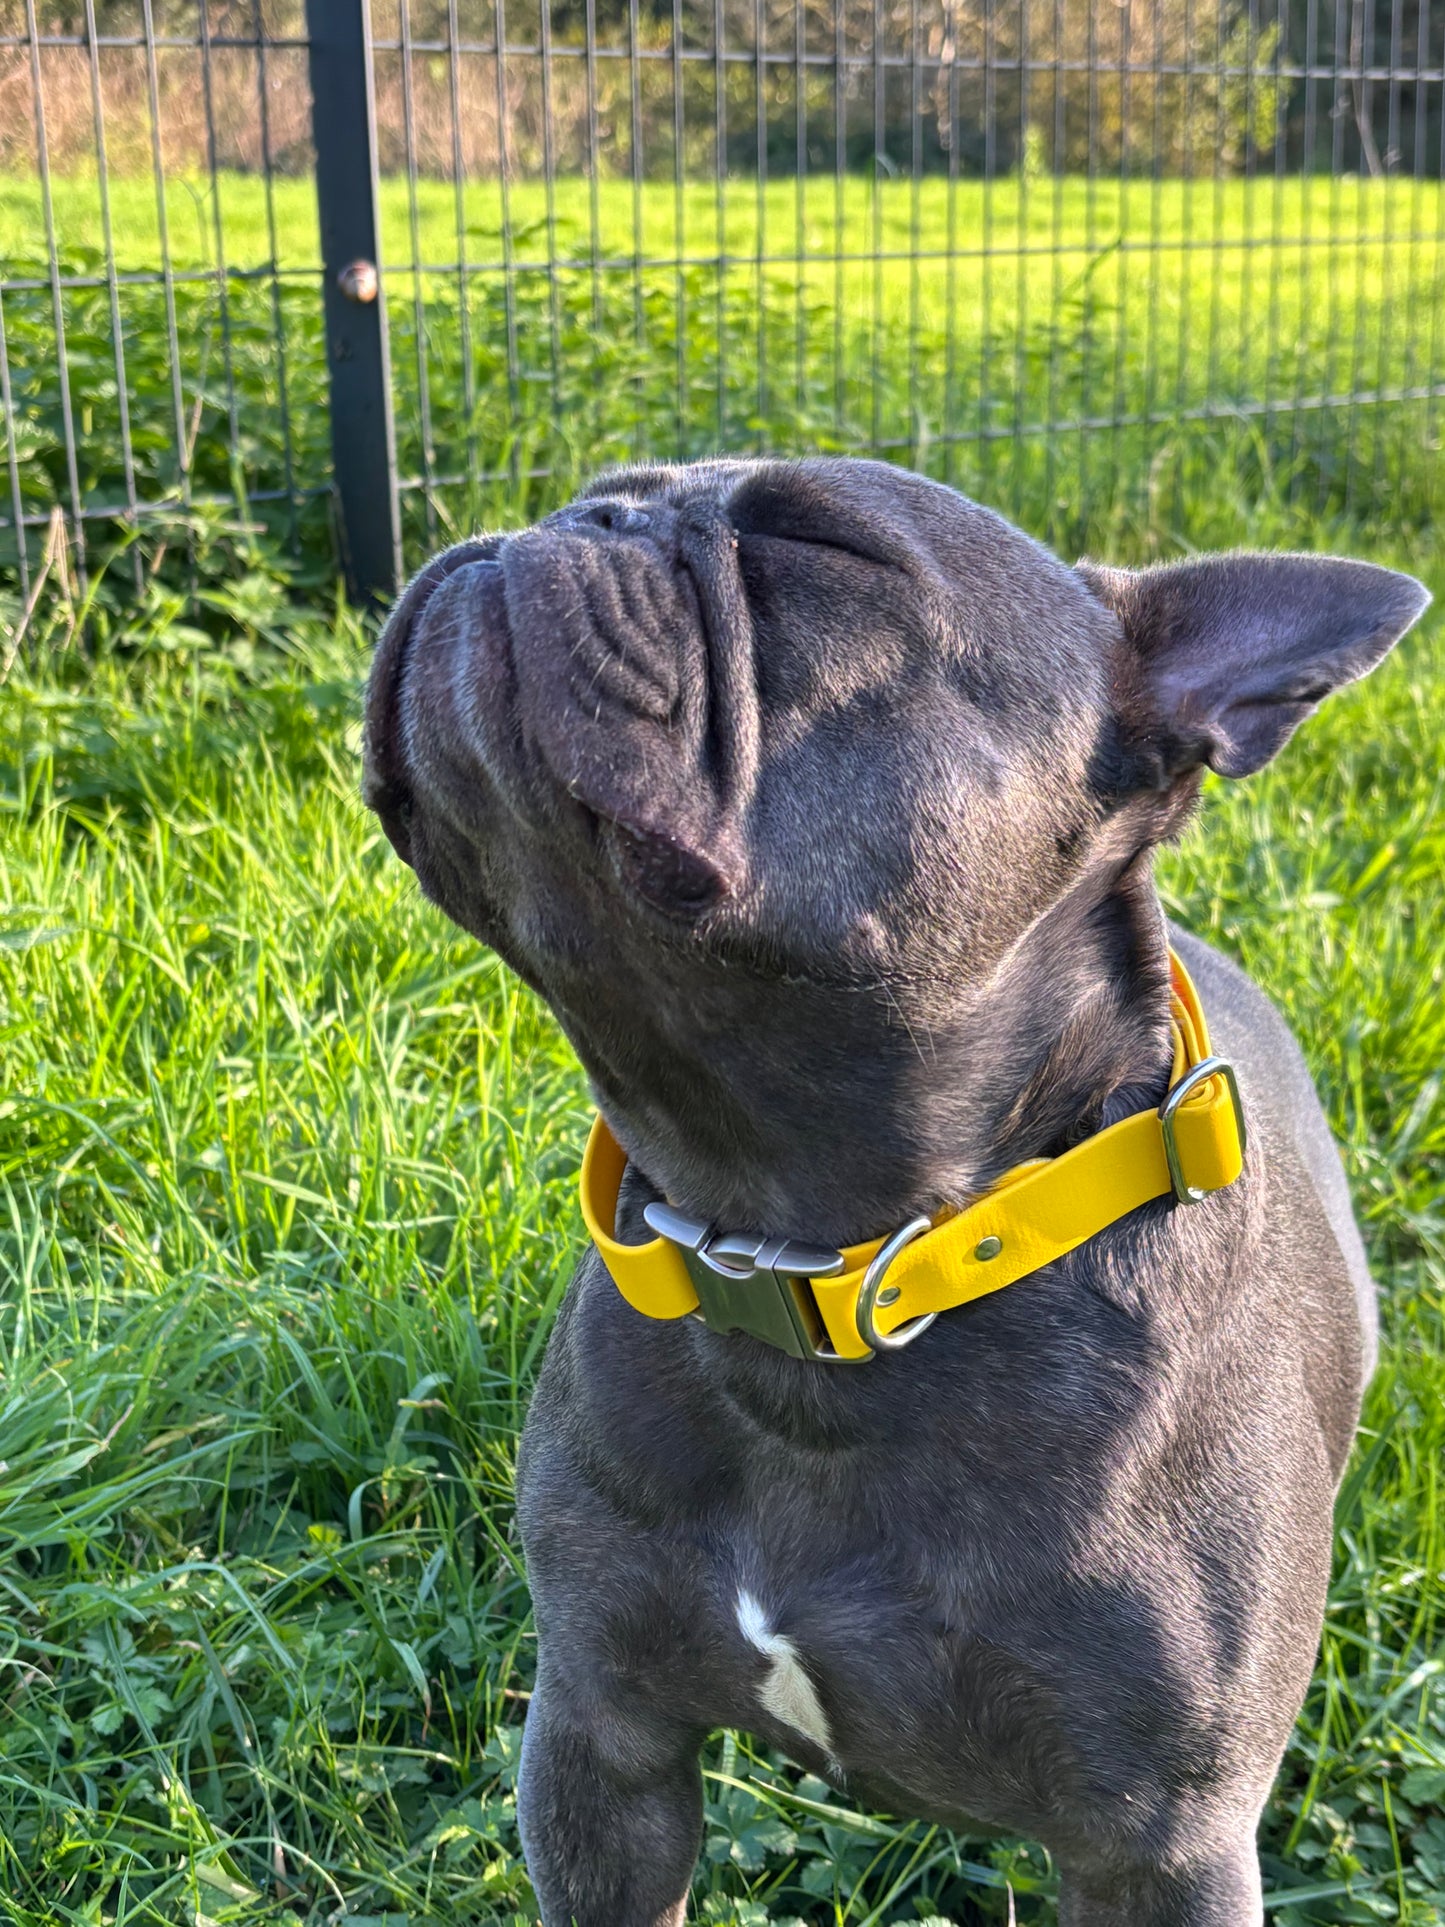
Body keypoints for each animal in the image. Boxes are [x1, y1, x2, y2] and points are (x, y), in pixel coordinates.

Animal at [360, 462, 1425, 1927]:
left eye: (821, 546)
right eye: (593, 498)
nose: (576, 517)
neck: (811, 1257)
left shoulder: (1161, 1845)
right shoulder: (599, 1742)